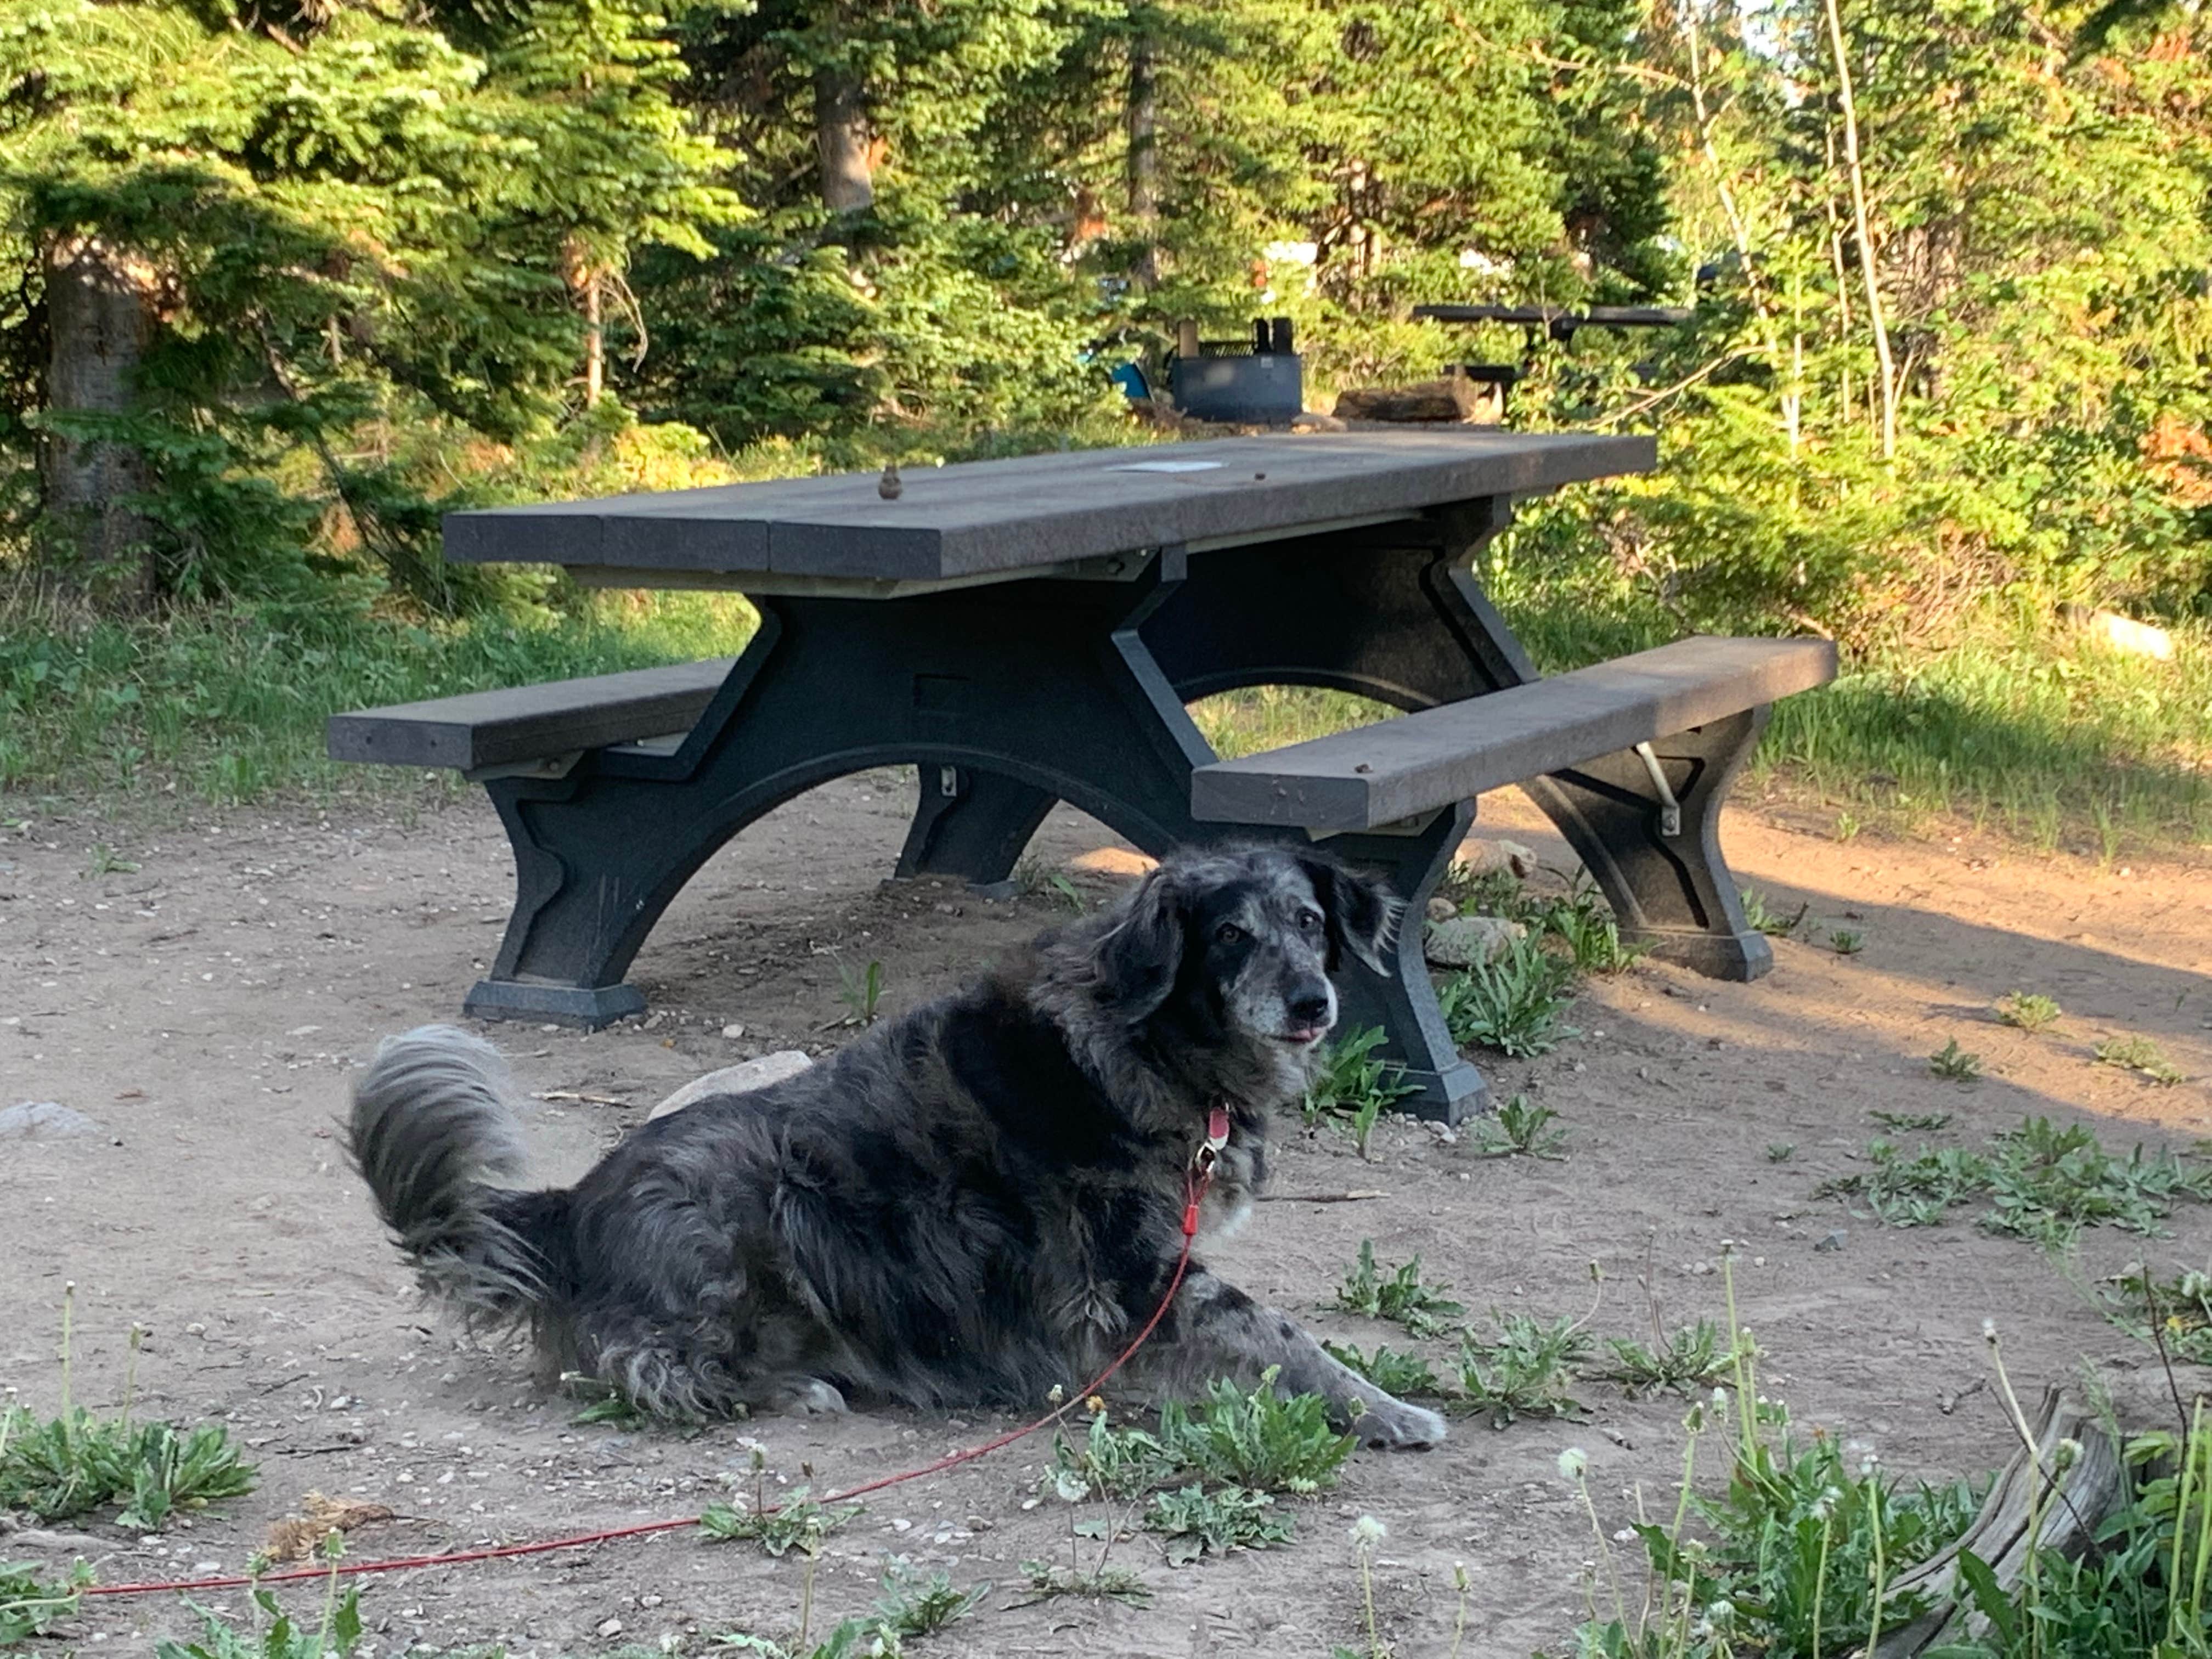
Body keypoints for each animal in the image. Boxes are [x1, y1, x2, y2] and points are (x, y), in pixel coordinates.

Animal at [347, 849, 1451, 1451]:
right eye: (1228, 934)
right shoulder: (1139, 1276)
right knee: (649, 1369)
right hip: (743, 1207)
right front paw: (1387, 1410)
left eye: (1308, 920)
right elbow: (1283, 1336)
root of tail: (570, 1205)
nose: (1312, 1000)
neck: (1152, 1039)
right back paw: (793, 1387)